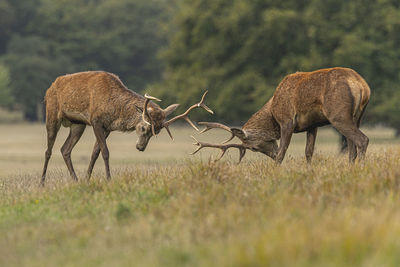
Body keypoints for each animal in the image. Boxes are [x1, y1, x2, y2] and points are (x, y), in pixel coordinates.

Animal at [41, 70, 214, 185]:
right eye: (144, 127)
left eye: (156, 132)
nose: (140, 147)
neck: (115, 110)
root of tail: (49, 89)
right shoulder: (96, 120)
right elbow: (105, 152)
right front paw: (109, 180)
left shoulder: (107, 127)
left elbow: (95, 153)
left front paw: (87, 179)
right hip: (52, 113)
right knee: (48, 150)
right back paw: (42, 182)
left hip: (78, 124)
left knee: (65, 149)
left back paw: (75, 180)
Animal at [192, 67, 370, 163]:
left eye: (253, 148)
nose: (271, 155)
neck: (272, 111)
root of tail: (362, 86)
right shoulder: (312, 125)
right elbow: (308, 152)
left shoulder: (287, 121)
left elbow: (282, 153)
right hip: (358, 117)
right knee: (351, 149)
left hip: (338, 115)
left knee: (362, 140)